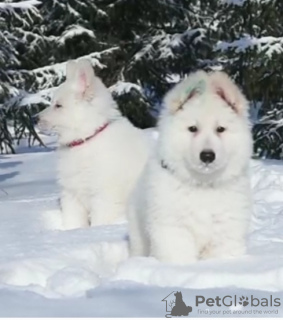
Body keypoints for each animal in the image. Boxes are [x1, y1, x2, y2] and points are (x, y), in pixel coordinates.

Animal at [41, 59, 151, 230]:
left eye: (58, 105)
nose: (35, 119)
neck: (87, 138)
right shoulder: (72, 195)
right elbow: (73, 222)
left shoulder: (105, 197)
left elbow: (100, 222)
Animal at [130, 70, 254, 264]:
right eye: (193, 128)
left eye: (220, 129)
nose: (207, 156)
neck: (202, 185)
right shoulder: (173, 229)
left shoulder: (225, 232)